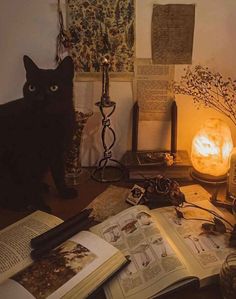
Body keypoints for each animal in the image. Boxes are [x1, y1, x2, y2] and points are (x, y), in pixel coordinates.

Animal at [0, 55, 77, 212]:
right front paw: (40, 208)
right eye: (32, 87)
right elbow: (31, 185)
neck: (48, 125)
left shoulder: (57, 154)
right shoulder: (25, 159)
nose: (39, 98)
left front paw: (64, 192)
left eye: (54, 87)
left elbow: (59, 175)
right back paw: (20, 203)